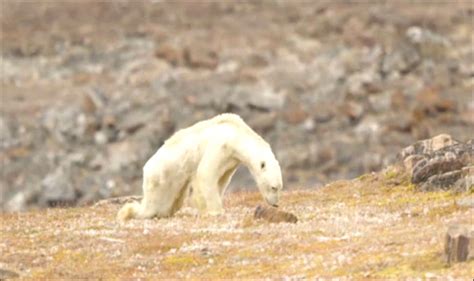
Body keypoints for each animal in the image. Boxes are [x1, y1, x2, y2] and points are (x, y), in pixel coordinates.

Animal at [117, 112, 284, 220]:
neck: (236, 133)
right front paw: (215, 211)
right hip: (162, 177)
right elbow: (206, 173)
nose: (275, 204)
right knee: (153, 205)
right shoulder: (220, 145)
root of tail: (146, 168)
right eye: (273, 187)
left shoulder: (231, 161)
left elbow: (221, 180)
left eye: (279, 187)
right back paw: (128, 212)